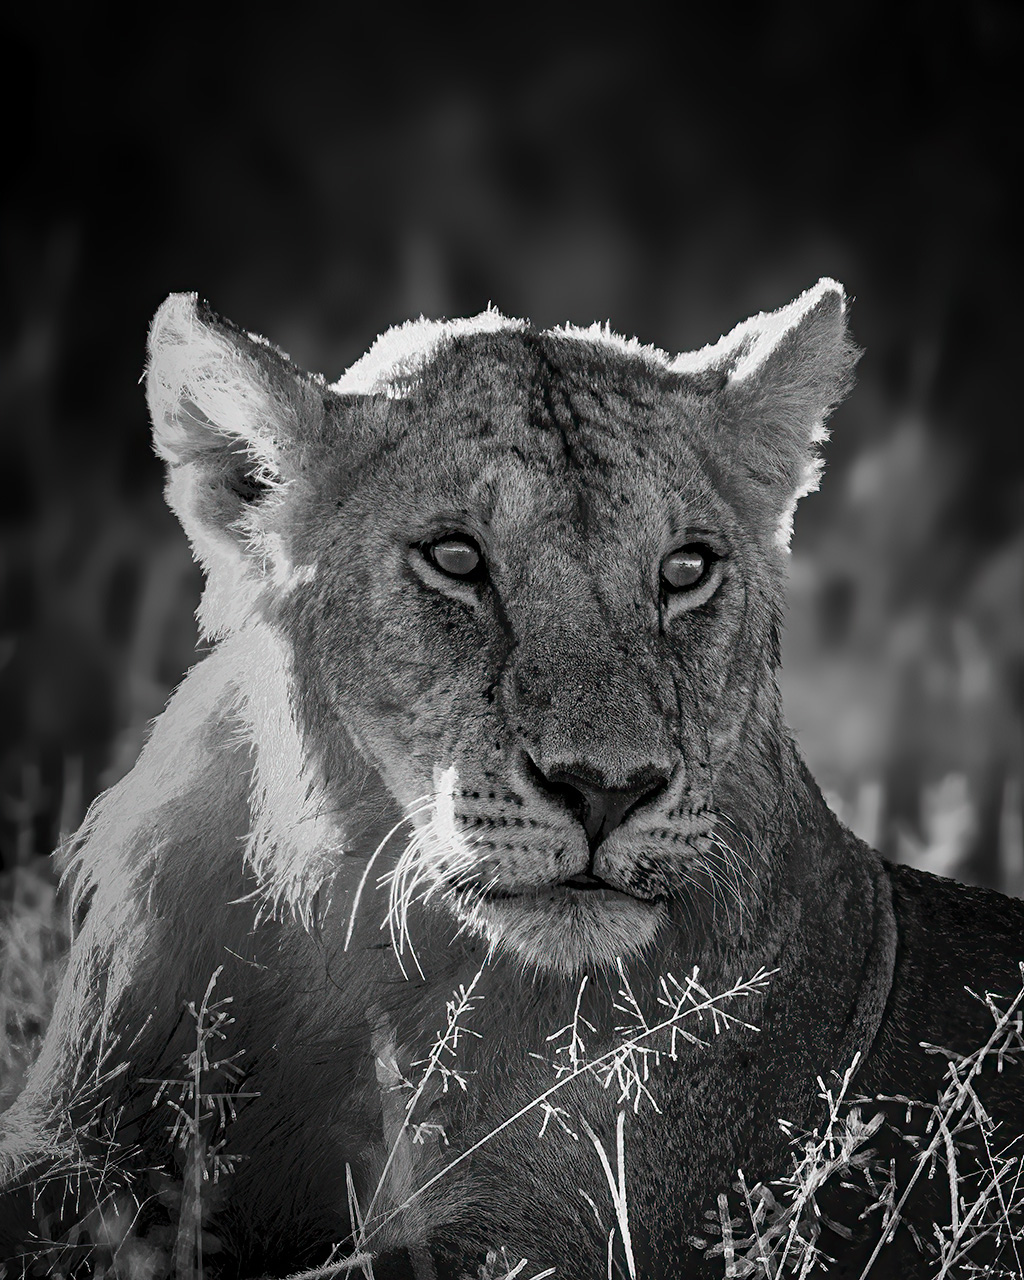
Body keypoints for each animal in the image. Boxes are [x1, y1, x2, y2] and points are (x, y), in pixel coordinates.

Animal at [1, 281, 1022, 1279]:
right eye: (456, 558)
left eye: (687, 568)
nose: (607, 789)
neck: (351, 942)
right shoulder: (70, 1135)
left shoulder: (558, 1240)